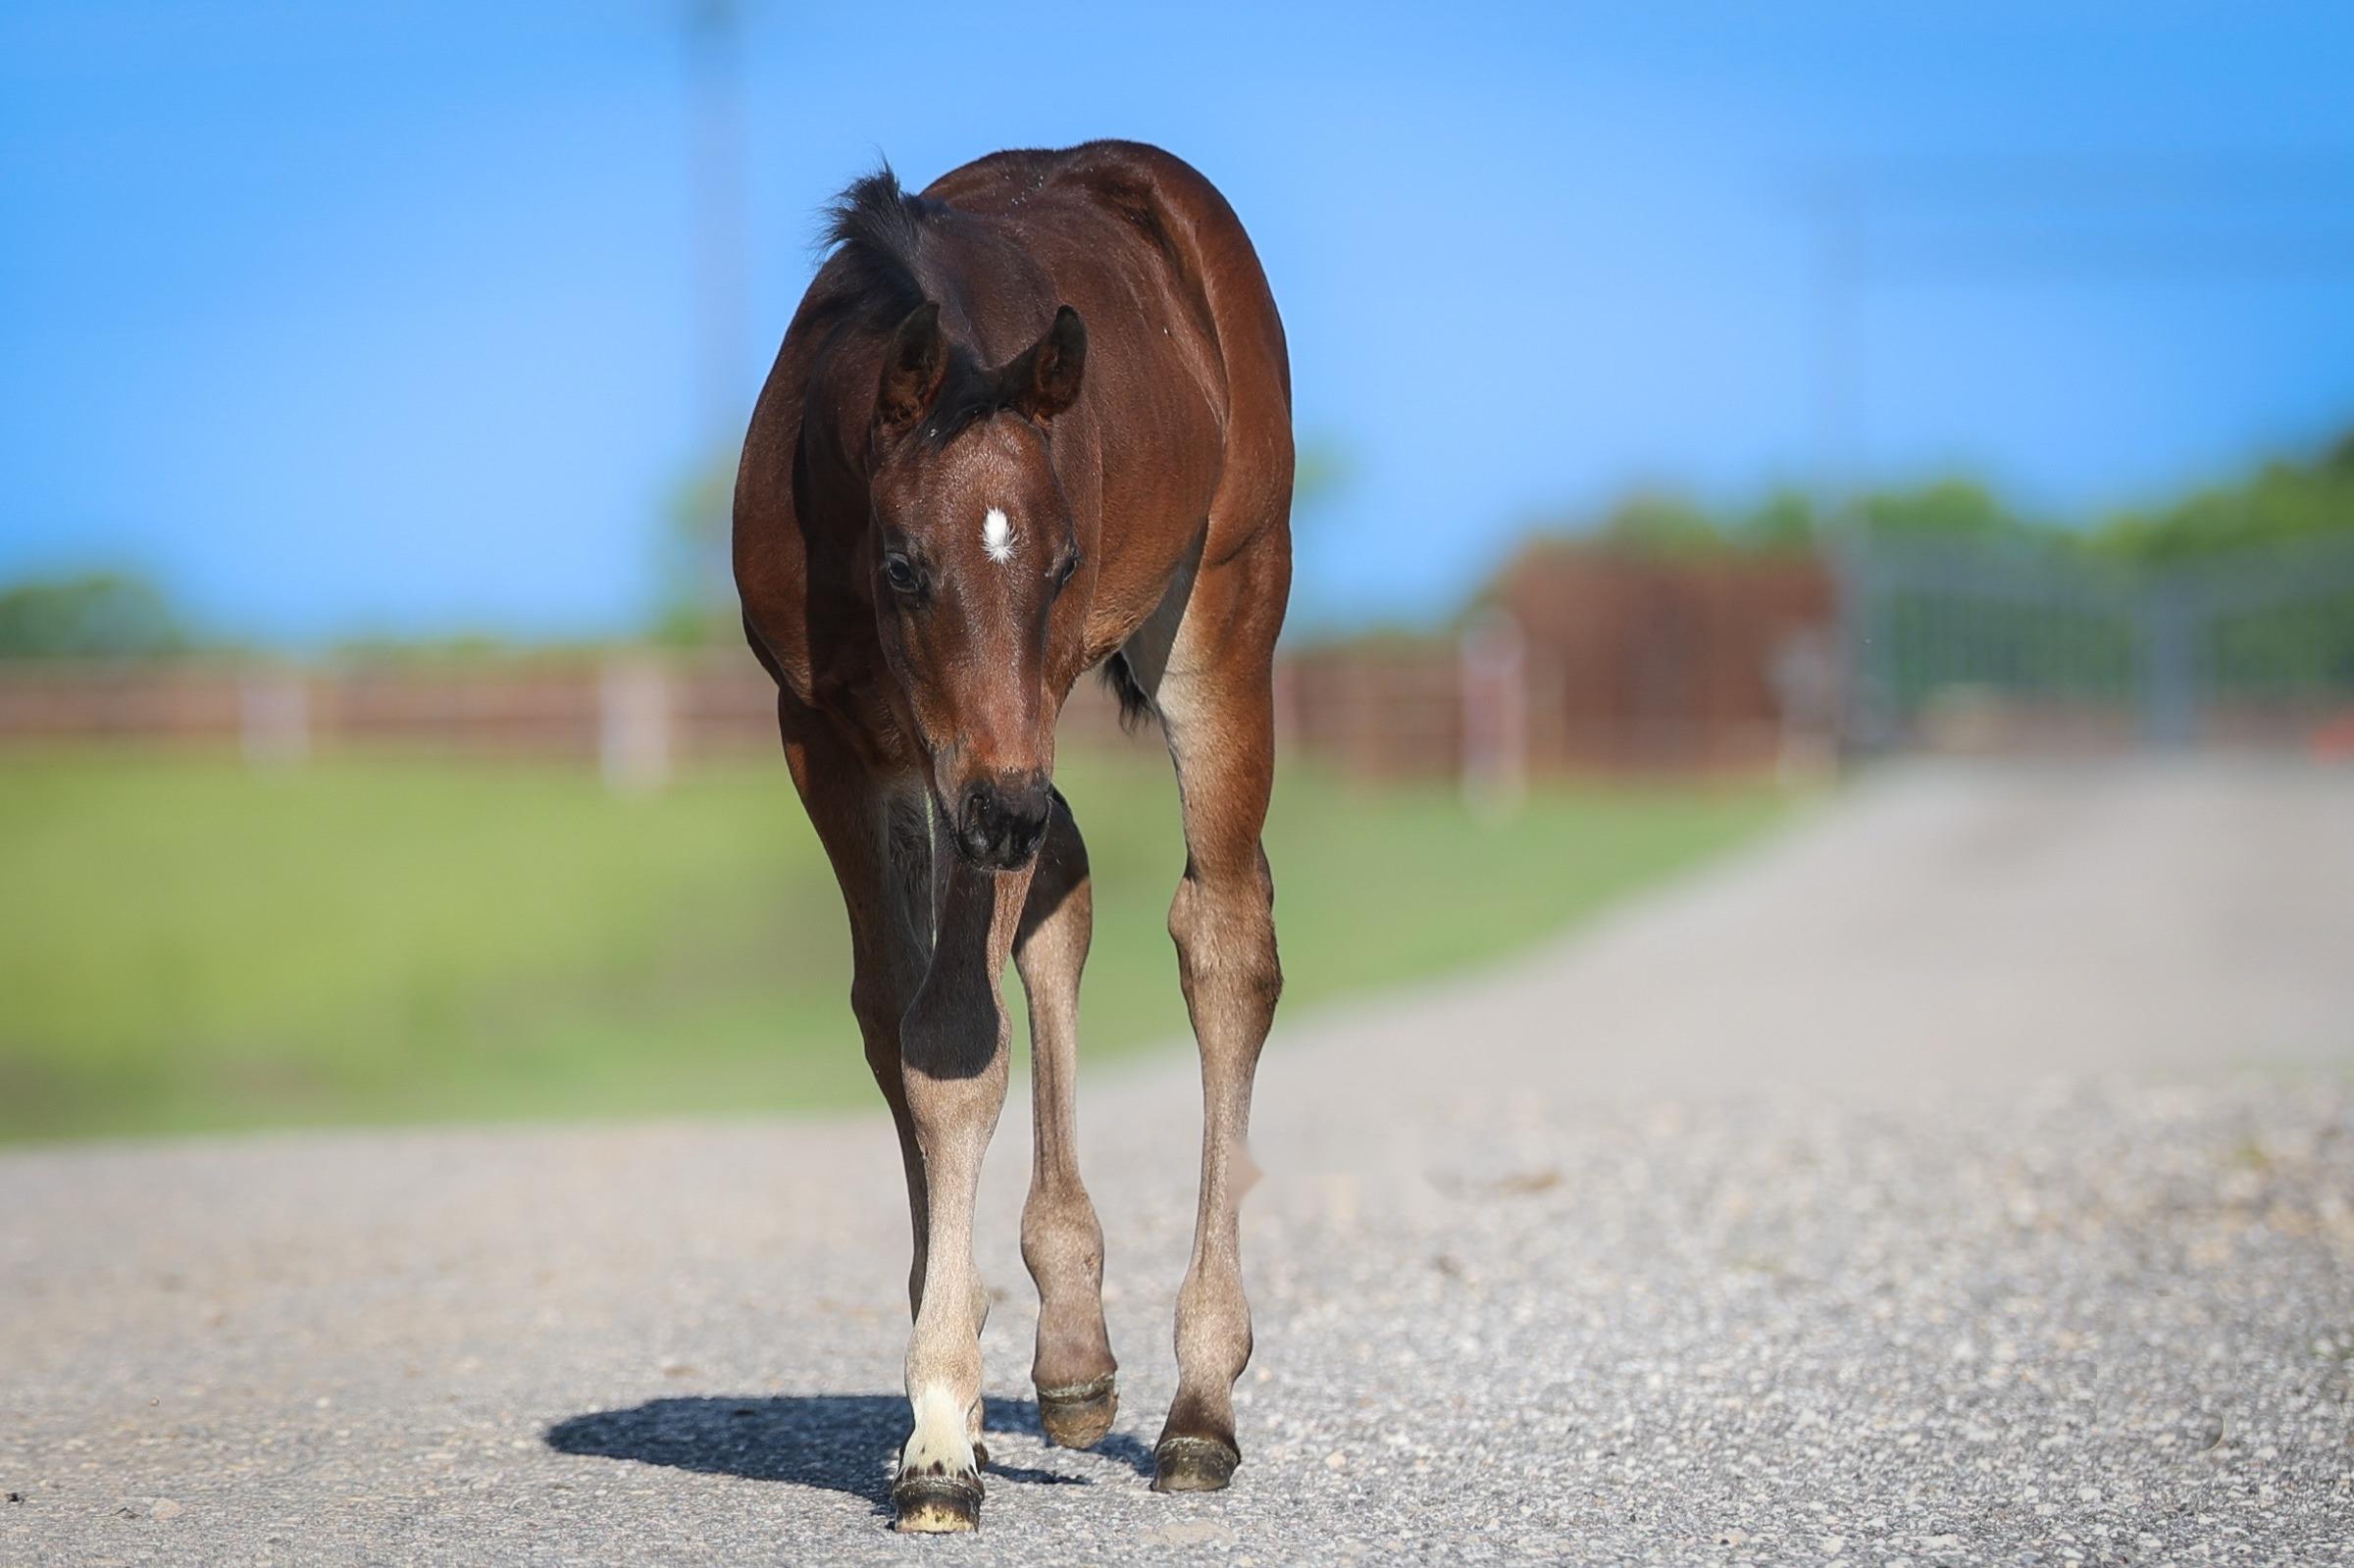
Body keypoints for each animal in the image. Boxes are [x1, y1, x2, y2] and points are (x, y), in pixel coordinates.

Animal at [732, 141, 1291, 1533]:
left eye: (1064, 561)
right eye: (904, 564)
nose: (1001, 811)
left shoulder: (999, 743)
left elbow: (953, 1042)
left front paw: (939, 1429)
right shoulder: (835, 739)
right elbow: (897, 1027)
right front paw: (958, 1392)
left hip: (1222, 611)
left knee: (1223, 940)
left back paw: (1200, 1406)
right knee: (1065, 885)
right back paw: (1075, 1352)